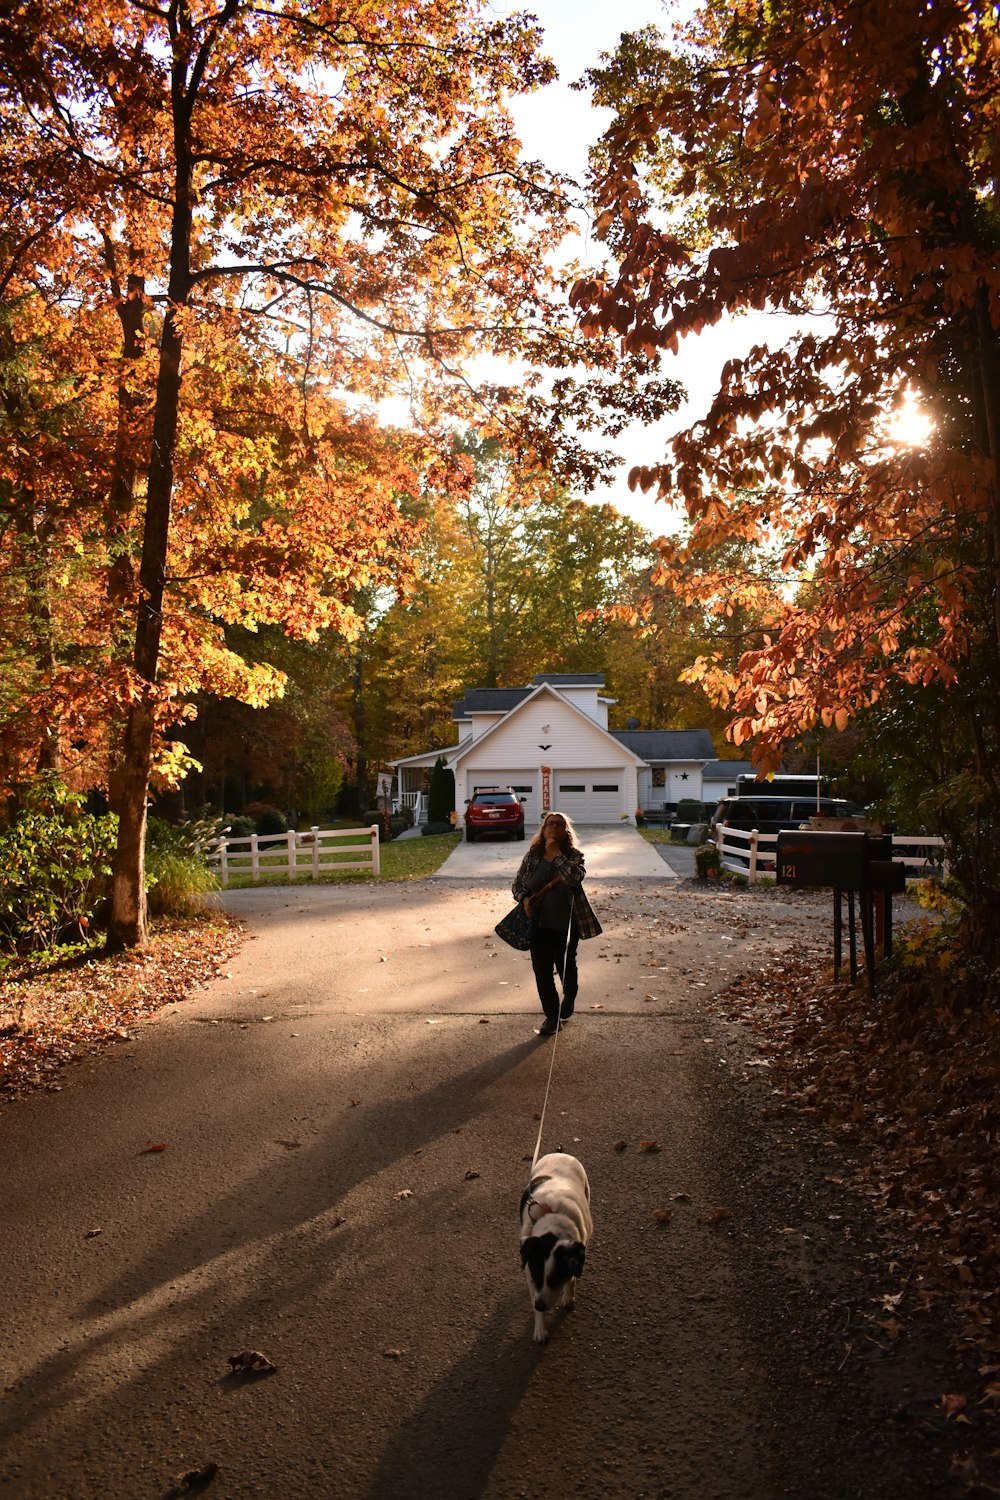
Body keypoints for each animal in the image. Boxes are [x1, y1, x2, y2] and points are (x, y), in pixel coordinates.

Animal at [521, 1146, 590, 1350]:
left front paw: (568, 1296)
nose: (539, 1306)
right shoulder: (528, 1271)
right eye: (536, 1277)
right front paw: (540, 1329)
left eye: (555, 1279)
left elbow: (572, 1278)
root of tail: (559, 1153)